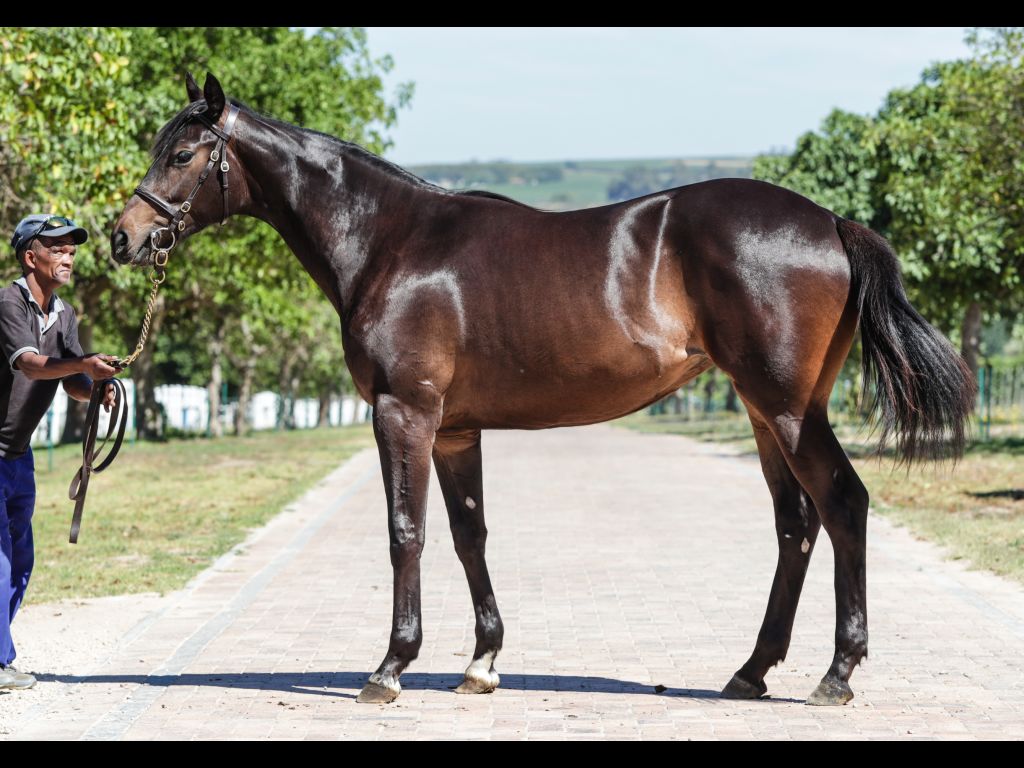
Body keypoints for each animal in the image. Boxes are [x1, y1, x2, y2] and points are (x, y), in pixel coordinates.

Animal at [112, 73, 974, 706]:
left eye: (183, 153)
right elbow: (469, 534)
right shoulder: (454, 429)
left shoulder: (404, 414)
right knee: (796, 525)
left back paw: (837, 674)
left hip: (790, 410)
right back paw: (751, 671)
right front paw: (482, 662)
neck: (390, 240)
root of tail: (831, 221)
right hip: (767, 413)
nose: (123, 237)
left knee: (843, 505)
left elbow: (405, 533)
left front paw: (390, 668)